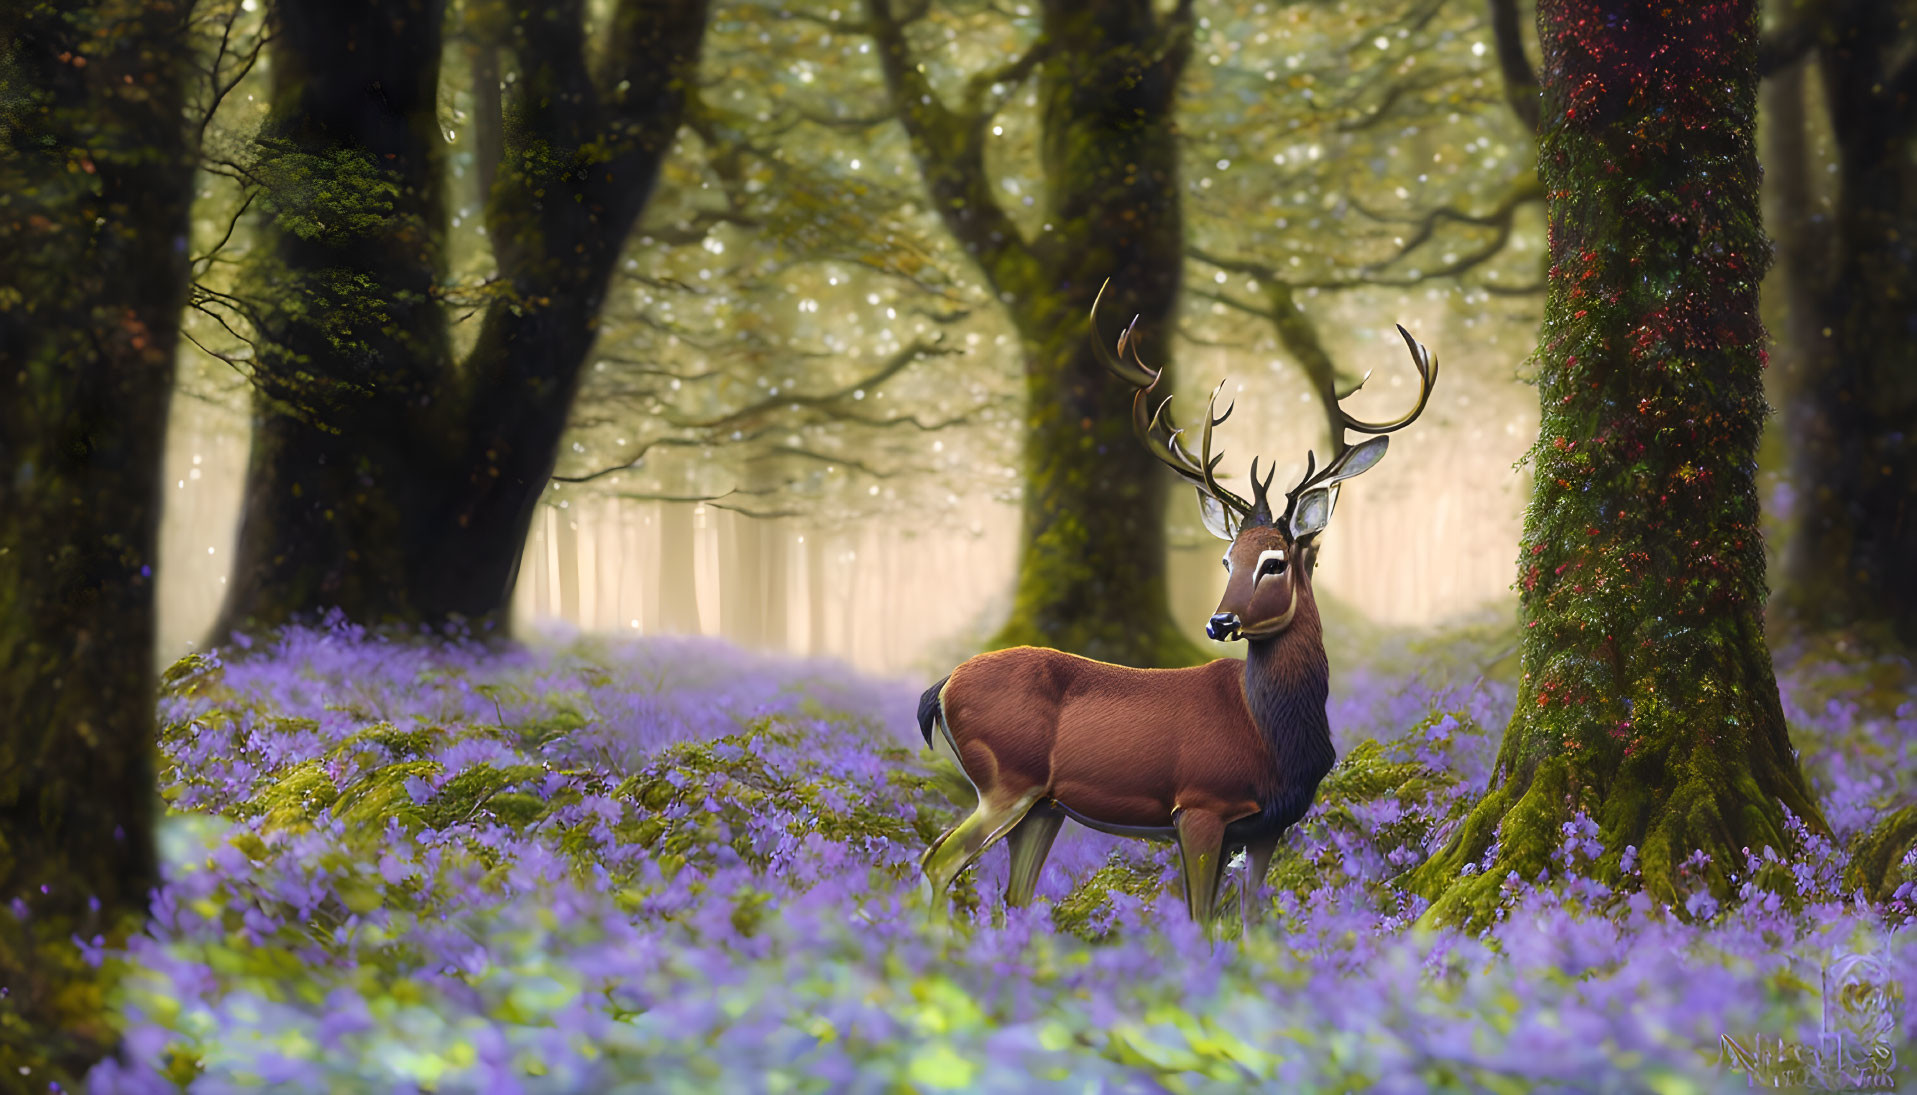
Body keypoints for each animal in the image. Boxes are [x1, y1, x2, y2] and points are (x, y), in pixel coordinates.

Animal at [916, 279, 1441, 924]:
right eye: (1227, 560)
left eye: (1275, 561)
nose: (1220, 621)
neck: (1271, 738)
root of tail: (941, 687)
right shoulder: (1199, 803)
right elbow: (1199, 919)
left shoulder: (1269, 825)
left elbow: (1251, 917)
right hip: (1005, 779)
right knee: (939, 858)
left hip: (1044, 804)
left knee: (1013, 893)